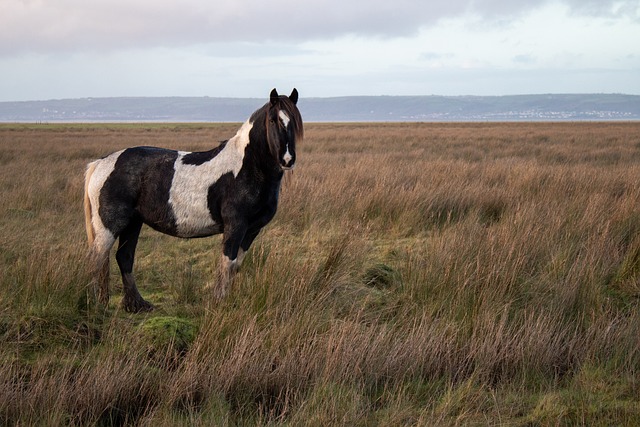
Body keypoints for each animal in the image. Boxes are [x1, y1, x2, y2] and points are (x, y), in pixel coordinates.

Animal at [84, 88, 302, 312]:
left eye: (294, 121)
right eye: (273, 120)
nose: (287, 159)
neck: (246, 168)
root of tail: (101, 163)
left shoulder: (252, 230)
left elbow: (236, 266)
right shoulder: (235, 225)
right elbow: (227, 263)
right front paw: (219, 302)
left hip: (133, 223)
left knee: (124, 257)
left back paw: (136, 304)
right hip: (110, 225)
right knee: (97, 259)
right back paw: (95, 305)